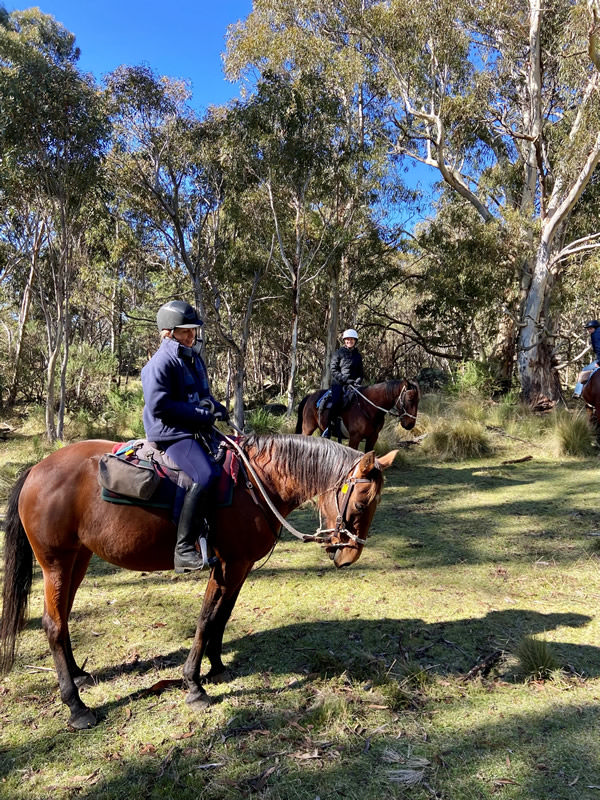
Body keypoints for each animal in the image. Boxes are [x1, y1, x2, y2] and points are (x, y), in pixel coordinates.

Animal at [1, 434, 398, 728]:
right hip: (55, 563)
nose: (348, 555)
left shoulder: (240, 566)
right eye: (361, 504)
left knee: (64, 618)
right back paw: (76, 706)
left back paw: (78, 675)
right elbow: (207, 619)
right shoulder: (227, 565)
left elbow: (223, 615)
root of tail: (36, 469)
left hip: (77, 559)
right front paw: (194, 685)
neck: (255, 484)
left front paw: (217, 666)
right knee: (53, 624)